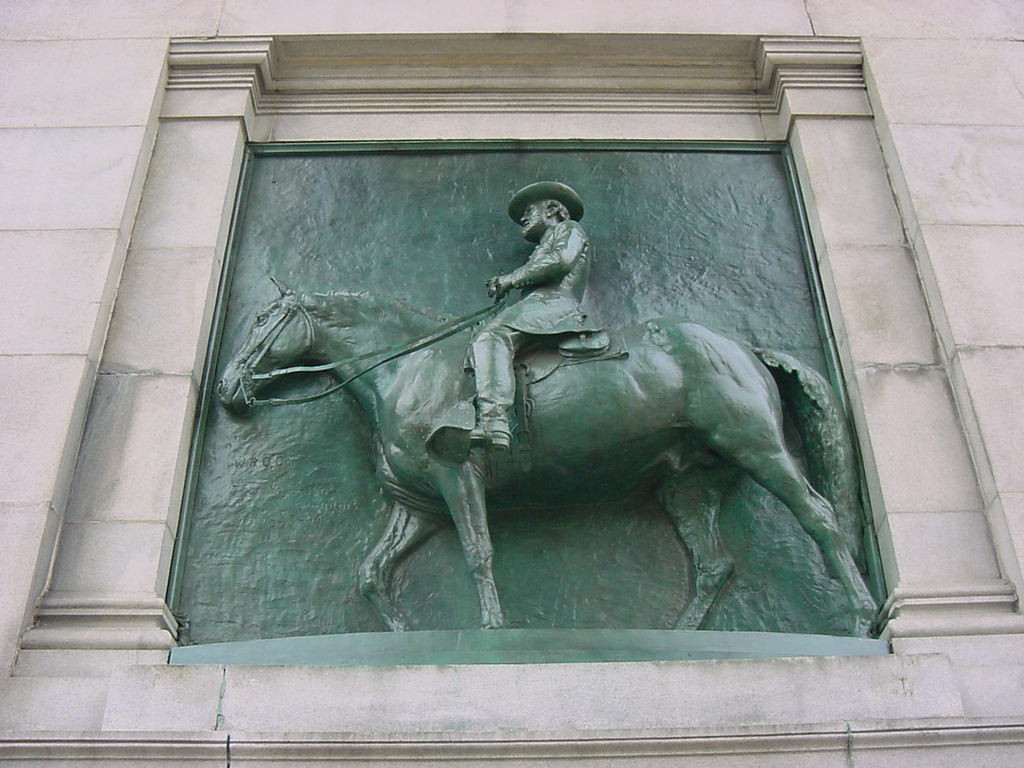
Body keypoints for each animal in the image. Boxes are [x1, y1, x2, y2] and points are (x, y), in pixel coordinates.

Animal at [218, 284, 880, 638]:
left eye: (262, 320)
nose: (226, 387)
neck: (405, 368)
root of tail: (746, 347)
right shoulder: (418, 505)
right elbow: (372, 572)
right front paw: (403, 635)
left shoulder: (456, 475)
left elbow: (479, 552)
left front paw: (493, 629)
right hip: (688, 484)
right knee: (715, 563)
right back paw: (680, 636)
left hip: (757, 447)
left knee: (818, 516)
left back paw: (860, 617)